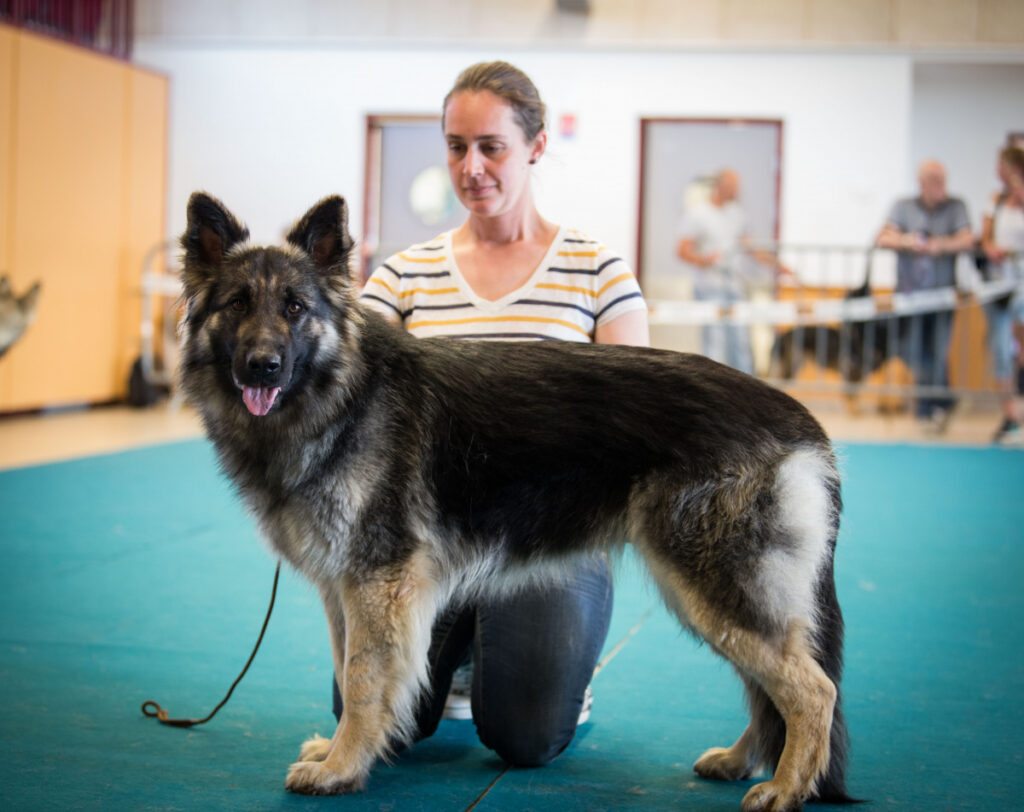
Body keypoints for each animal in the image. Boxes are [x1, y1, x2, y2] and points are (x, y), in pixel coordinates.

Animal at [178, 192, 855, 811]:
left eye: (295, 308)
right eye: (237, 305)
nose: (261, 367)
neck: (344, 395)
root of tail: (800, 419)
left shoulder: (376, 584)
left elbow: (365, 681)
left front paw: (343, 768)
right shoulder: (344, 589)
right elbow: (349, 671)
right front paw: (339, 752)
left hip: (713, 589)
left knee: (811, 690)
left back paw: (786, 788)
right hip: (714, 598)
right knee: (771, 689)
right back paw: (742, 762)